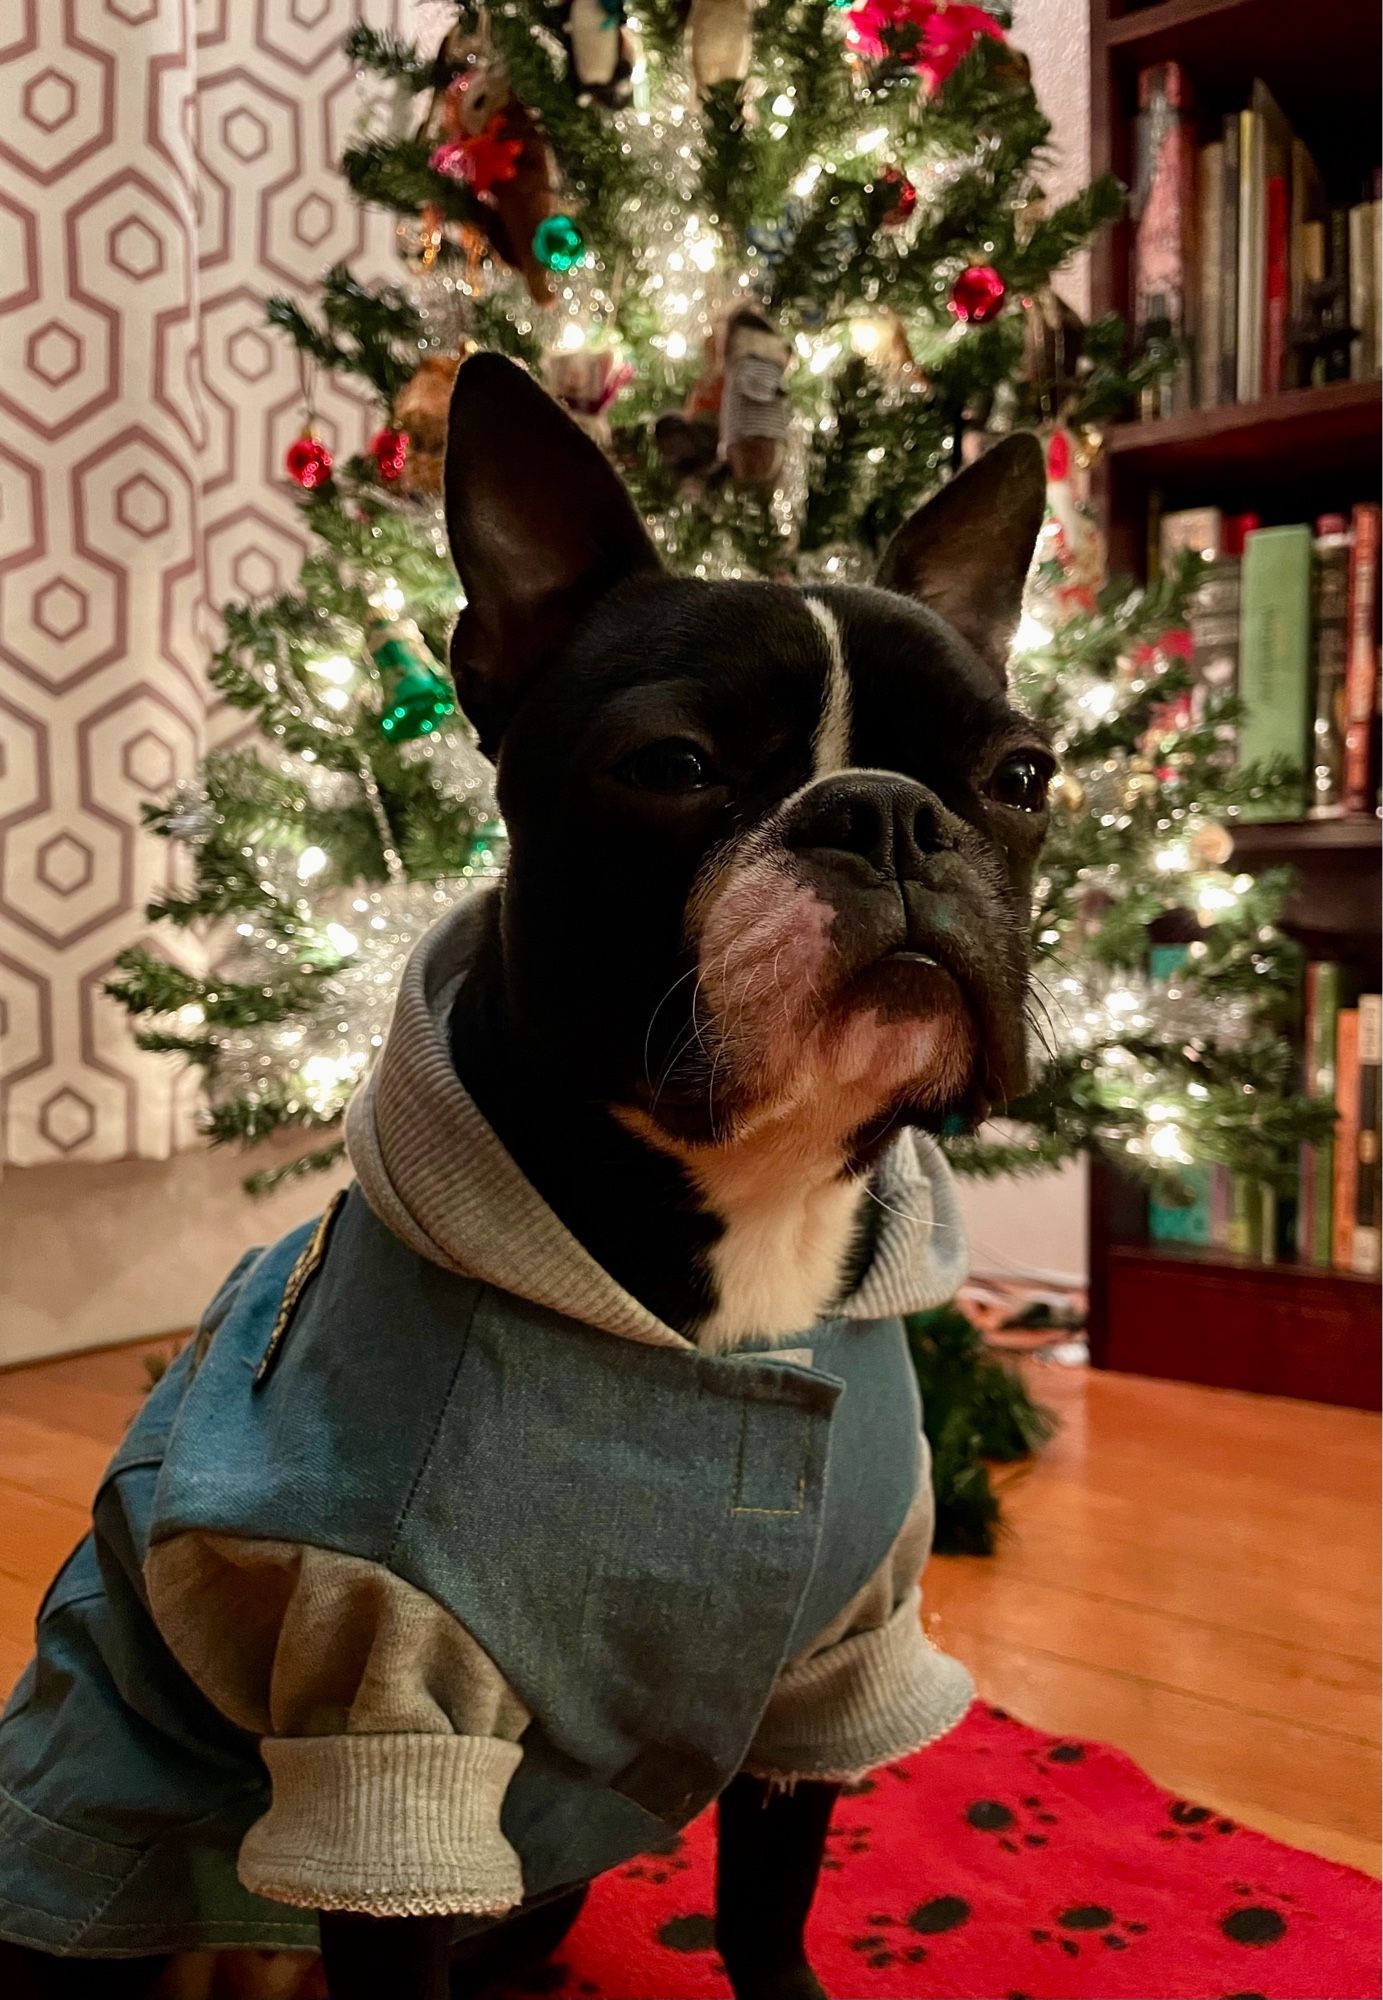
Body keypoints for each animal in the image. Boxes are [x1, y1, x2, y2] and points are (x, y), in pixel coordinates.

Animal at [0, 360, 1047, 2000]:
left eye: (1018, 775)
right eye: (671, 767)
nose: (882, 809)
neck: (737, 1238)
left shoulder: (837, 1659)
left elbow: (766, 1907)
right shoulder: (385, 1710)